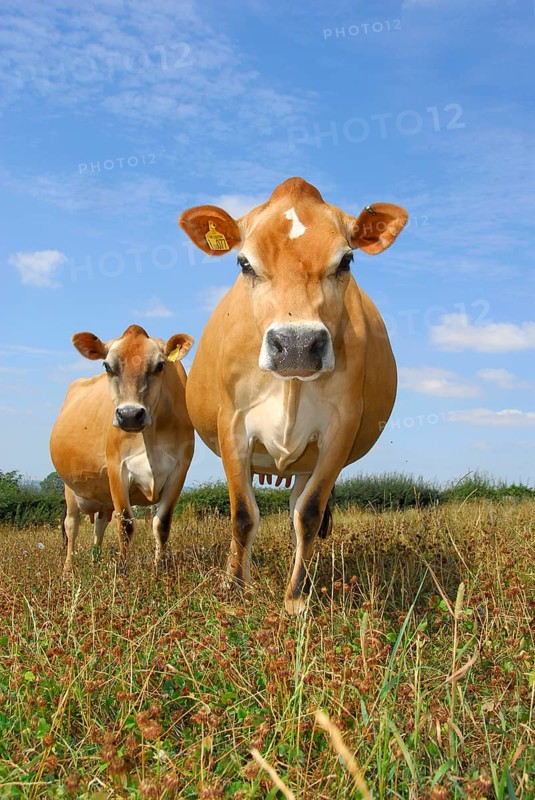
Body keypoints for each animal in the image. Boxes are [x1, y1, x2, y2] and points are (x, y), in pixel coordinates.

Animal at [50, 324, 194, 574]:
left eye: (160, 365)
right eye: (108, 366)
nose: (129, 415)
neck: (150, 437)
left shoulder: (179, 470)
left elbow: (162, 523)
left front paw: (159, 570)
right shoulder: (117, 468)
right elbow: (125, 525)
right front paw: (123, 572)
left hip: (103, 498)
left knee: (99, 525)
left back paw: (95, 562)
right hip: (70, 489)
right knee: (71, 525)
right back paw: (68, 570)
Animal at [178, 177, 408, 613]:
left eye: (346, 261)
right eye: (244, 263)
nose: (297, 345)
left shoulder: (340, 428)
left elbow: (310, 514)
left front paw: (297, 598)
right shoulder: (232, 424)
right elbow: (242, 514)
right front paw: (235, 591)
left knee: (296, 511)